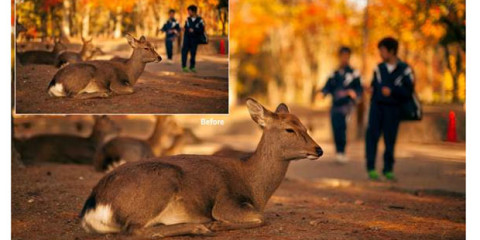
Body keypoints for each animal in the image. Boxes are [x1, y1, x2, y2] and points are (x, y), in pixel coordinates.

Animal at [80, 99, 324, 238]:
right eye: (289, 129)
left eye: (305, 126)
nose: (319, 149)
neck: (256, 189)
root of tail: (93, 207)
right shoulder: (226, 202)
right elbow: (262, 218)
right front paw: (217, 225)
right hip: (160, 184)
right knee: (133, 231)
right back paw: (199, 228)